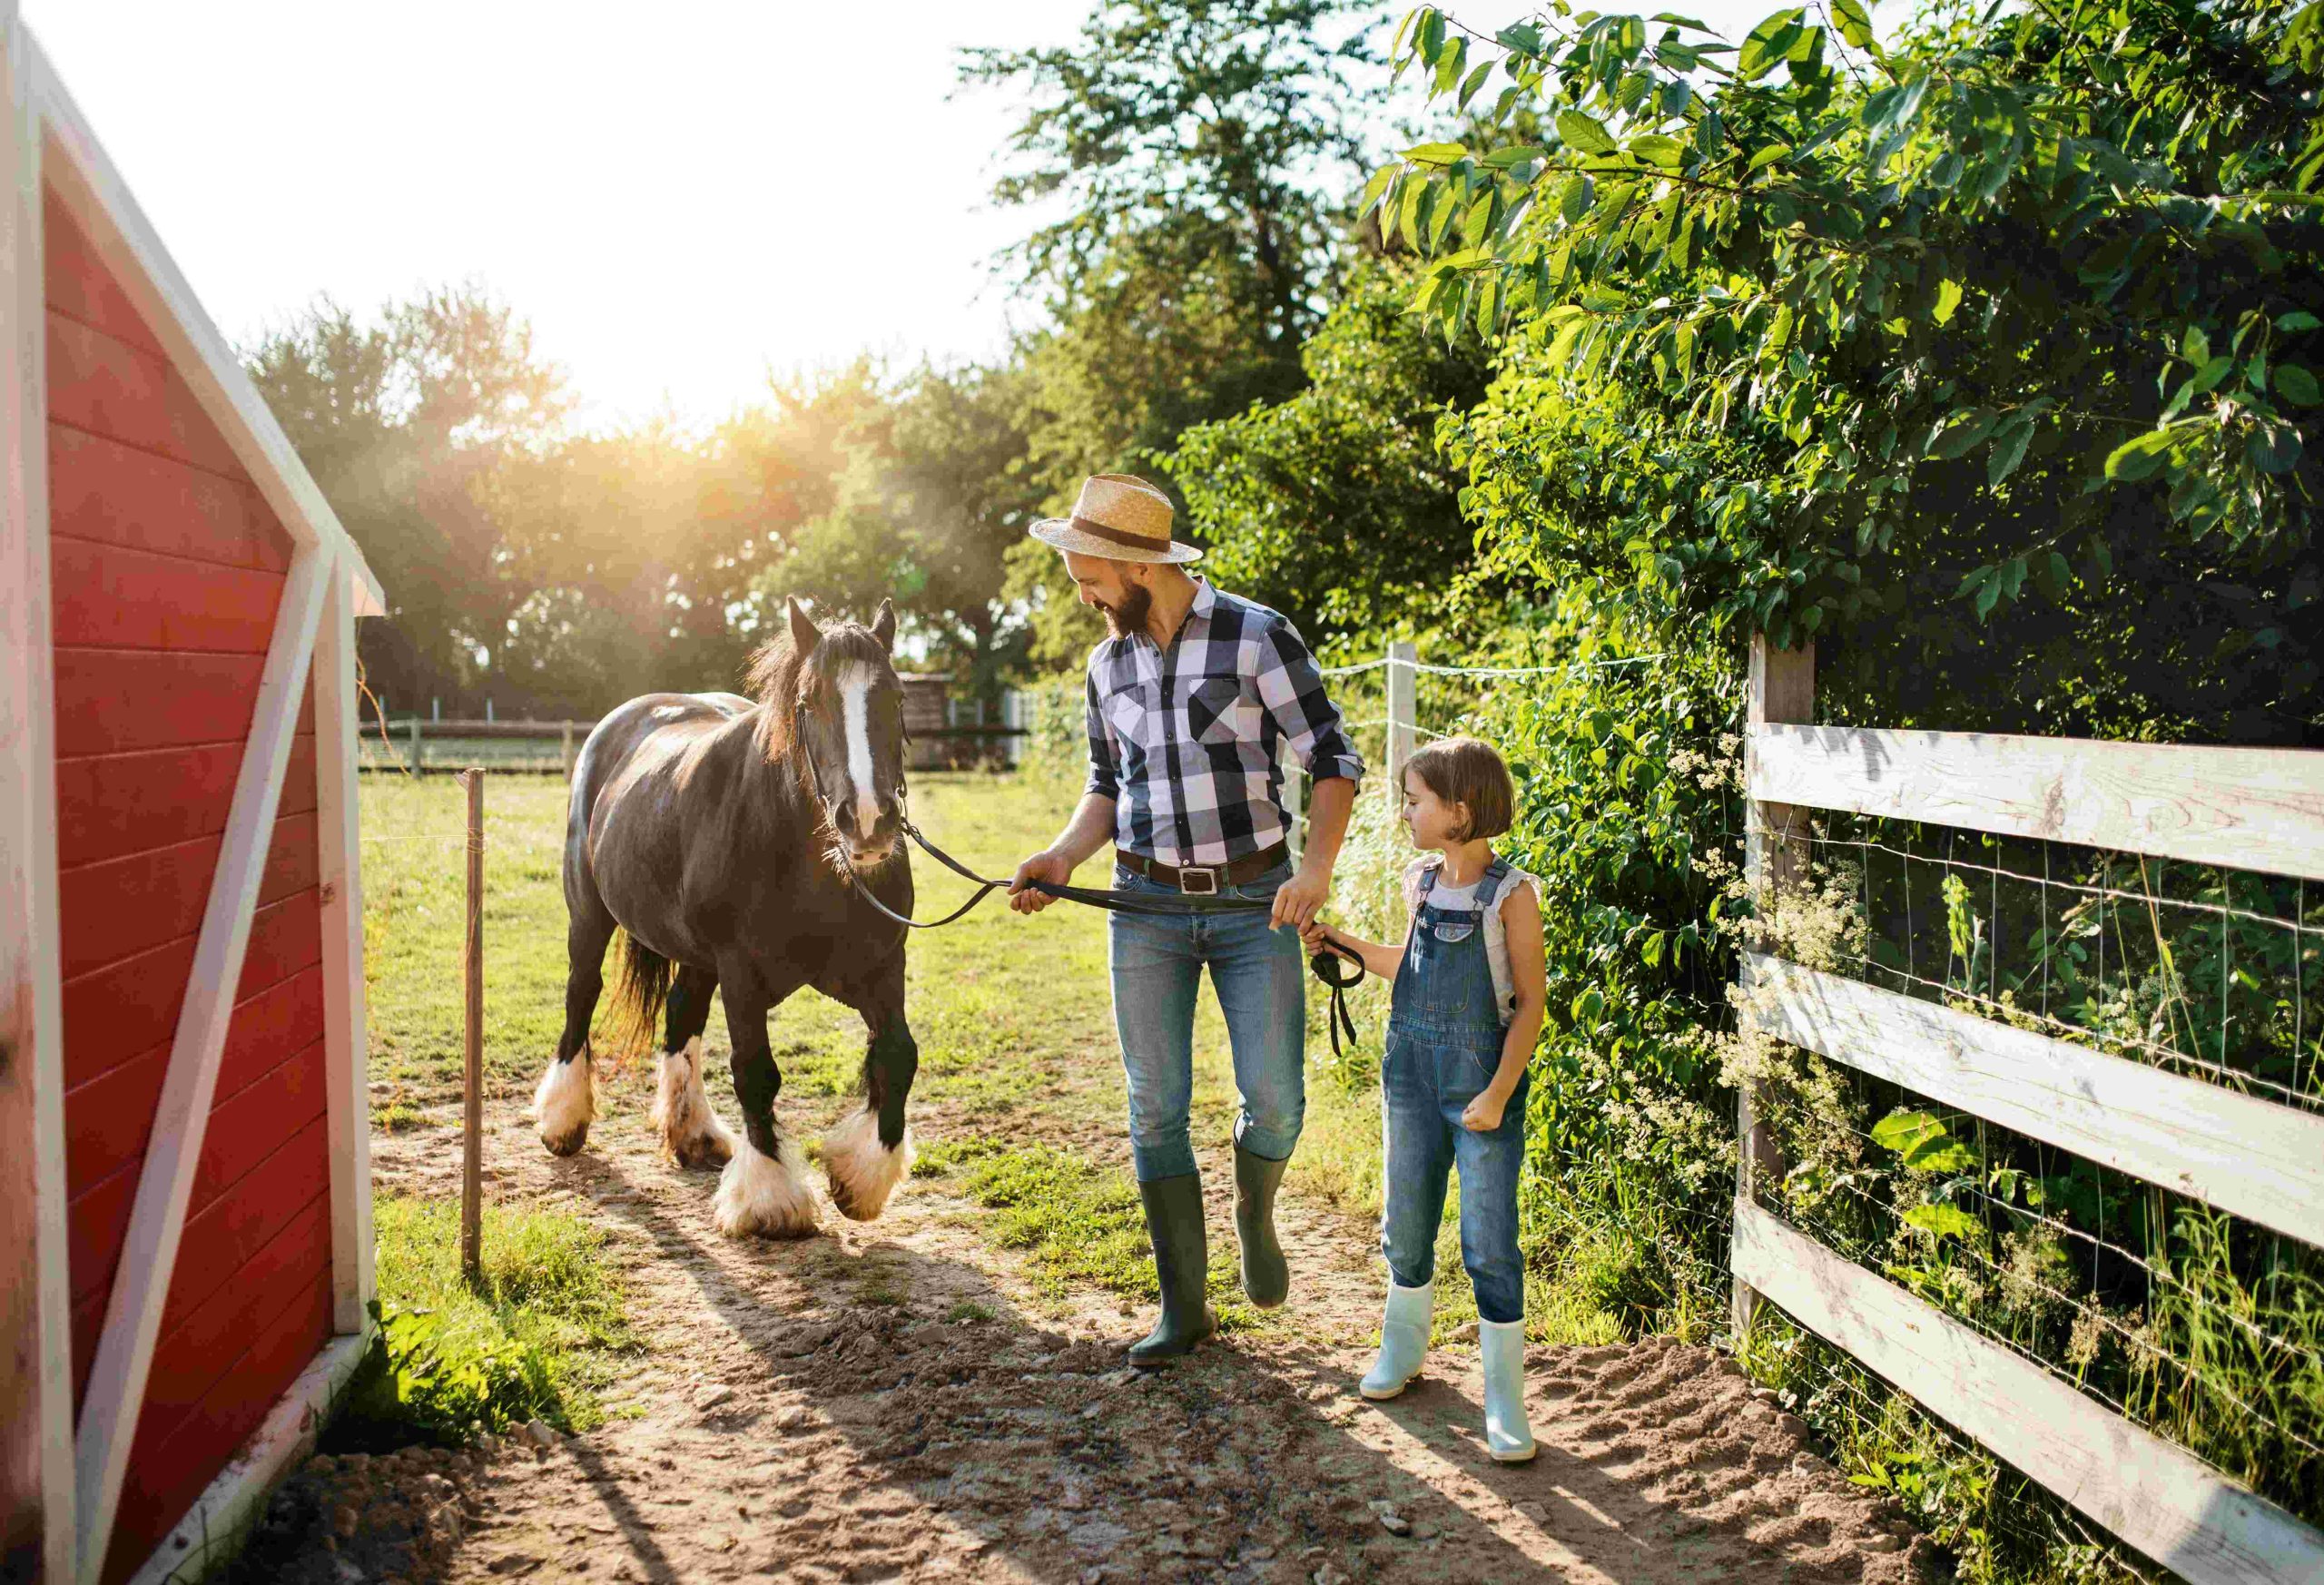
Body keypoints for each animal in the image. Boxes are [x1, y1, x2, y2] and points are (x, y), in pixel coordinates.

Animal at [532, 595, 920, 1236]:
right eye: (808, 703)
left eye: (895, 697)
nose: (867, 821)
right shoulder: (742, 973)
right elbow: (756, 1072)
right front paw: (770, 1198)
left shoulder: (881, 967)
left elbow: (899, 1056)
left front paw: (859, 1180)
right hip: (588, 917)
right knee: (580, 995)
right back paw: (563, 1119)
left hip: (695, 955)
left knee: (680, 1011)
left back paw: (692, 1133)